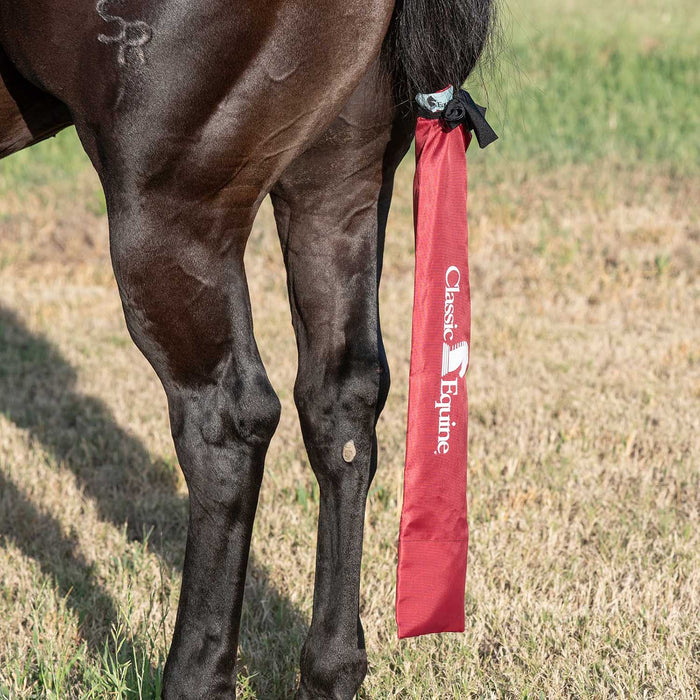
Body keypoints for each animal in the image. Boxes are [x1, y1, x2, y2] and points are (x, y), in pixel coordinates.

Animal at [0, 1, 493, 696]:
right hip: (338, 182)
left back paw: (196, 674)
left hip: (171, 209)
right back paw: (331, 667)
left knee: (225, 427)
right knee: (341, 405)